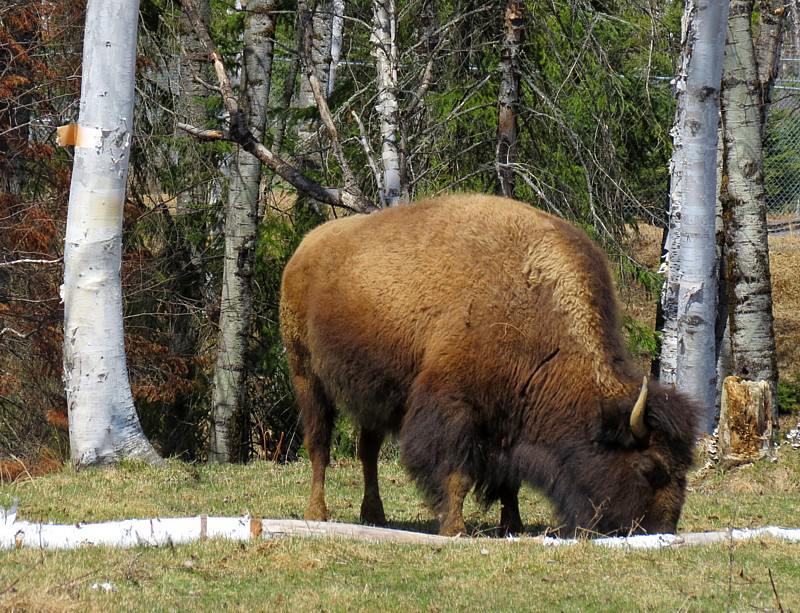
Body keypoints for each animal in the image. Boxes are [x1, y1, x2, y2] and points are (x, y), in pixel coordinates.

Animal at [278, 195, 696, 536]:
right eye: (648, 468)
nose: (659, 530)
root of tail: (304, 249)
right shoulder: (455, 408)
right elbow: (457, 473)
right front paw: (455, 529)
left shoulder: (510, 419)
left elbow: (509, 480)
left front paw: (513, 525)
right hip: (306, 375)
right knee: (319, 445)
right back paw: (317, 514)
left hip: (373, 396)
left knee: (367, 451)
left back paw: (375, 516)